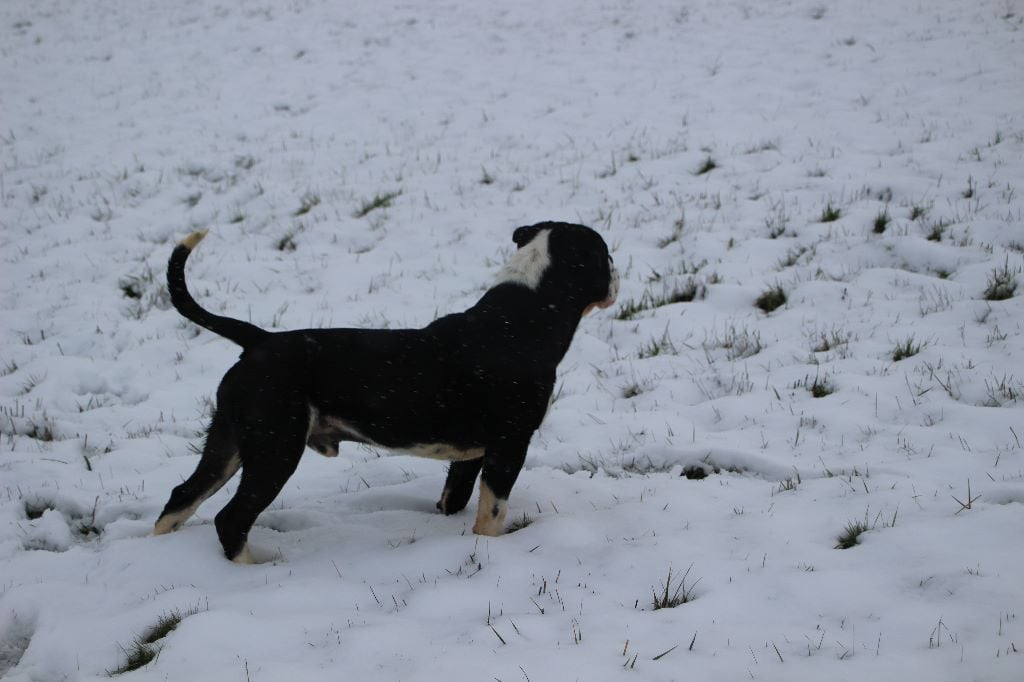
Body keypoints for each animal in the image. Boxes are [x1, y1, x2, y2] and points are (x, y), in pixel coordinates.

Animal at [153, 222, 618, 563]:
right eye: (607, 254)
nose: (618, 278)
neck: (523, 319)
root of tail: (259, 340)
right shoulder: (509, 446)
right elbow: (492, 513)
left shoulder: (470, 455)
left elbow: (455, 500)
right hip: (275, 450)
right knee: (231, 519)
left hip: (228, 442)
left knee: (181, 498)